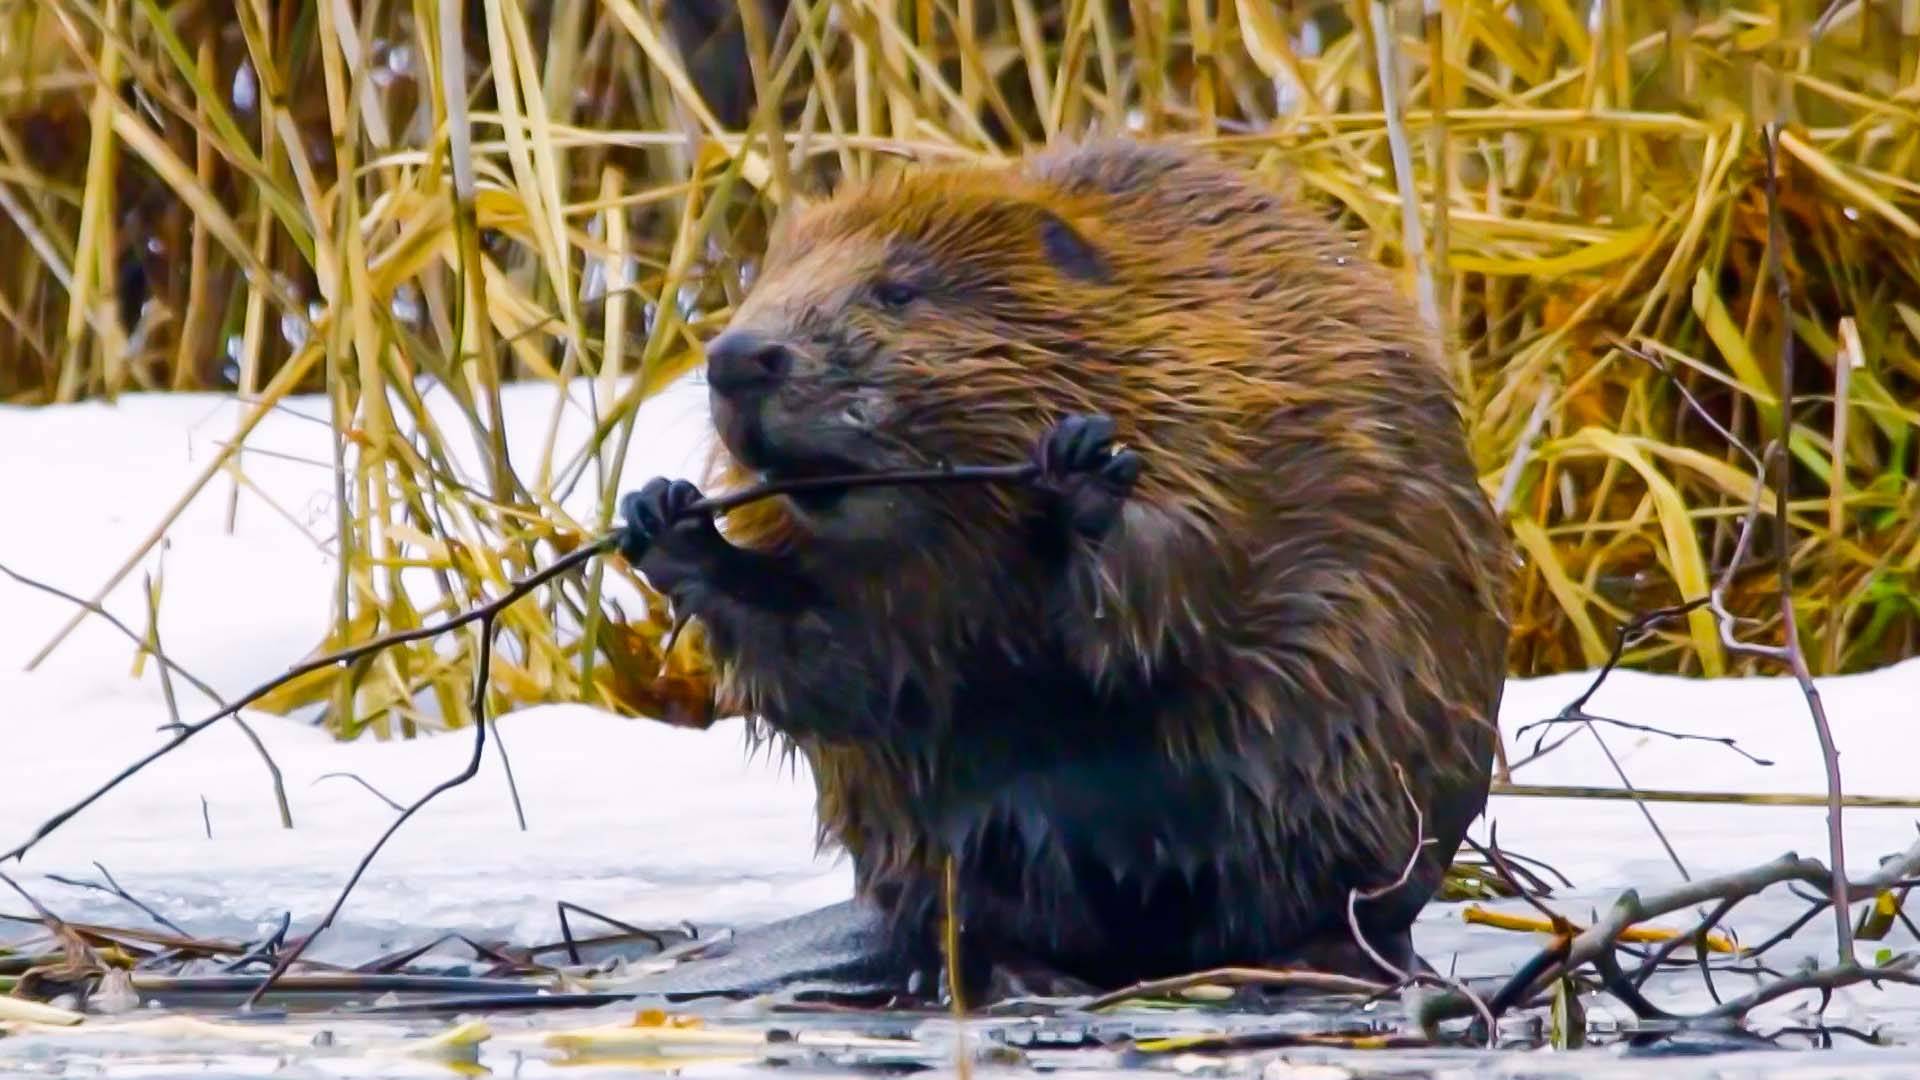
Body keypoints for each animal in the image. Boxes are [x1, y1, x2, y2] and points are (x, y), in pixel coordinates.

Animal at [622, 134, 1505, 999]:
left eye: (898, 291)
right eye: (758, 291)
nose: (738, 357)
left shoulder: (1237, 379)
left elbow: (1189, 564)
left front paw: (1079, 473)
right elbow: (841, 673)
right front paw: (665, 518)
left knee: (1345, 901)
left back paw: (1321, 960)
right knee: (964, 915)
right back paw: (1005, 974)